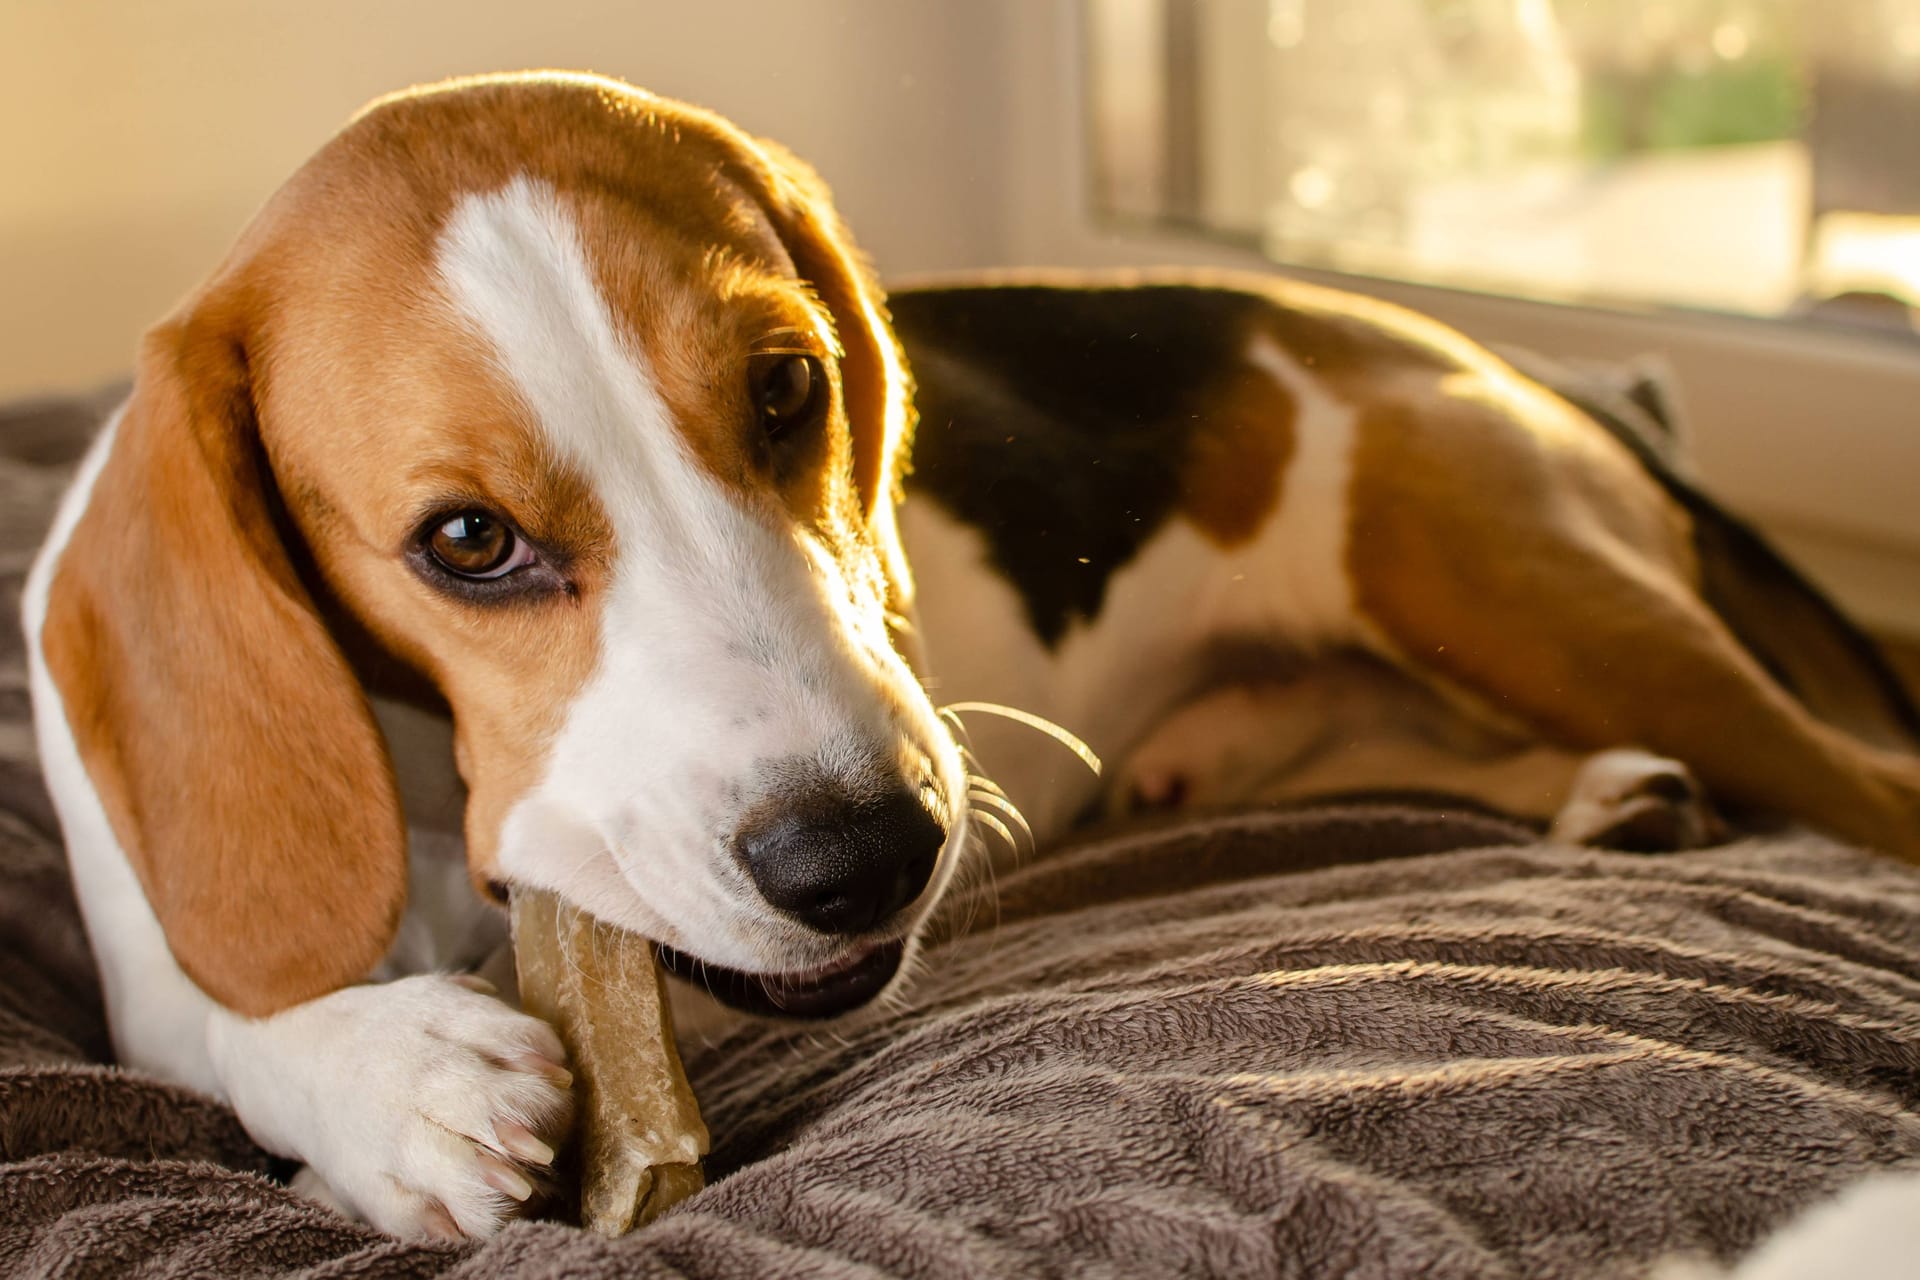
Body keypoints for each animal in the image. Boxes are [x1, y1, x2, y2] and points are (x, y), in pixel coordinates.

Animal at [18, 72, 1920, 1243]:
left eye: (788, 387)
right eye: (465, 543)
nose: (863, 859)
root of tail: (1466, 347)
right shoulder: (137, 974)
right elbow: (221, 1020)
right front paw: (392, 1078)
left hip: (1521, 588)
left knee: (1864, 780)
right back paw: (1609, 799)